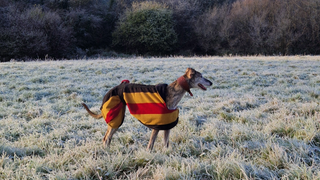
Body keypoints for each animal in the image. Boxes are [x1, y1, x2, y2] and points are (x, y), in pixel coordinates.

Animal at [82, 67, 212, 150]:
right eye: (201, 76)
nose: (211, 83)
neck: (171, 92)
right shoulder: (157, 127)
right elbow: (150, 146)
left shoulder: (167, 126)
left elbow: (166, 145)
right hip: (115, 118)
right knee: (106, 138)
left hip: (116, 118)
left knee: (107, 138)